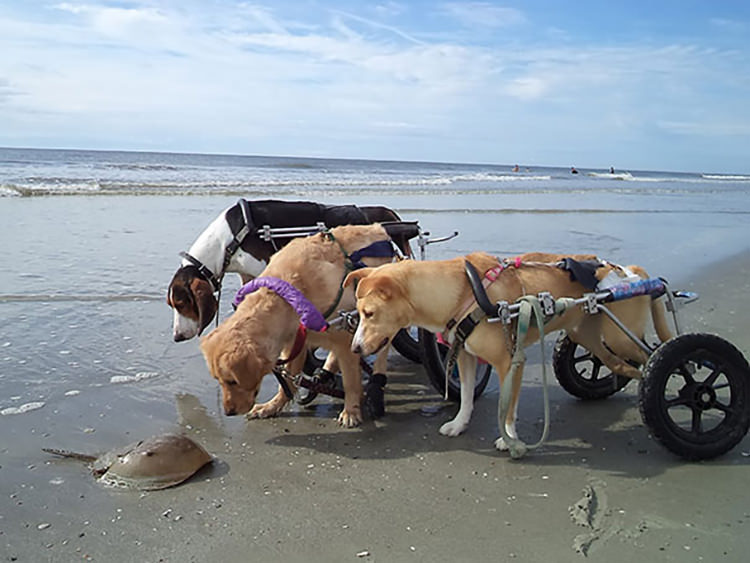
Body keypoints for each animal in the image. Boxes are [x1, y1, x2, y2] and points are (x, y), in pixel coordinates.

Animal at [200, 225, 400, 428]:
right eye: (219, 380)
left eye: (232, 381)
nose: (228, 412)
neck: (289, 296)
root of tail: (379, 229)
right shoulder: (296, 341)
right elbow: (287, 382)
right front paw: (273, 406)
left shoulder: (345, 338)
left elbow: (351, 382)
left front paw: (351, 411)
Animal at [344, 253, 672, 452]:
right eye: (359, 314)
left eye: (369, 313)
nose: (355, 348)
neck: (462, 291)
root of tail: (630, 272)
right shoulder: (466, 356)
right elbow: (465, 396)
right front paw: (460, 424)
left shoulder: (511, 362)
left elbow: (509, 408)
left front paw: (510, 439)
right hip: (589, 336)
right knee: (619, 363)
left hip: (621, 335)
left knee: (654, 354)